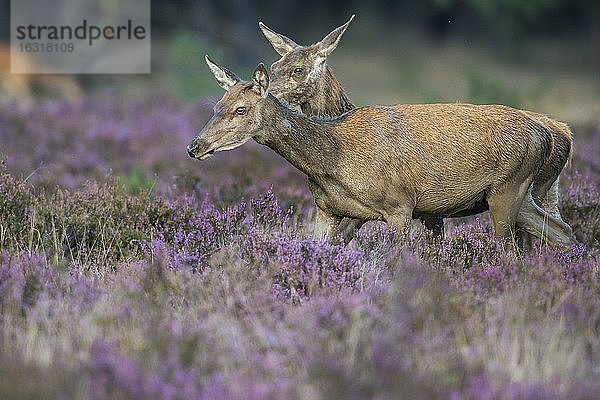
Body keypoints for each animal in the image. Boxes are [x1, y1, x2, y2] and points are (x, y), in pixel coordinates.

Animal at [188, 56, 572, 247]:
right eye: (216, 105)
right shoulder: (327, 210)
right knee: (562, 232)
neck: (333, 162)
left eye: (240, 110)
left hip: (508, 186)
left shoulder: (400, 205)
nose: (195, 146)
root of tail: (551, 134)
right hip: (520, 195)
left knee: (509, 249)